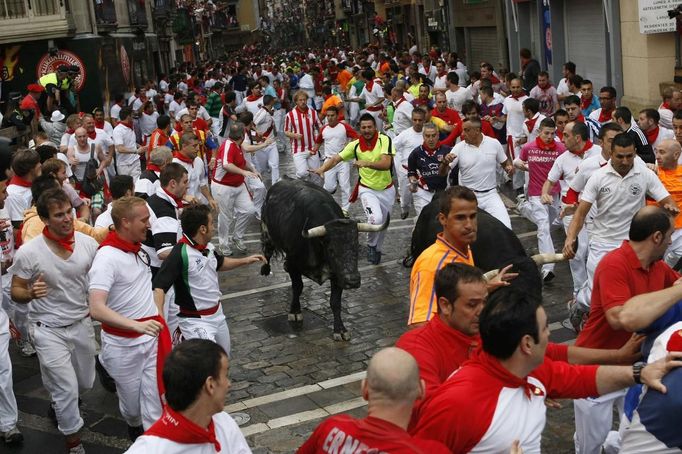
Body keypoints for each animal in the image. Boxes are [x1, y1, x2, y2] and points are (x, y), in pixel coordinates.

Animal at [258, 177, 386, 340]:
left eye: (356, 246)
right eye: (331, 249)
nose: (353, 281)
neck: (316, 244)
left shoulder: (338, 274)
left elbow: (335, 302)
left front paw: (340, 330)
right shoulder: (293, 265)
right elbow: (297, 287)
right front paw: (295, 312)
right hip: (267, 232)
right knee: (267, 251)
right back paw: (265, 268)